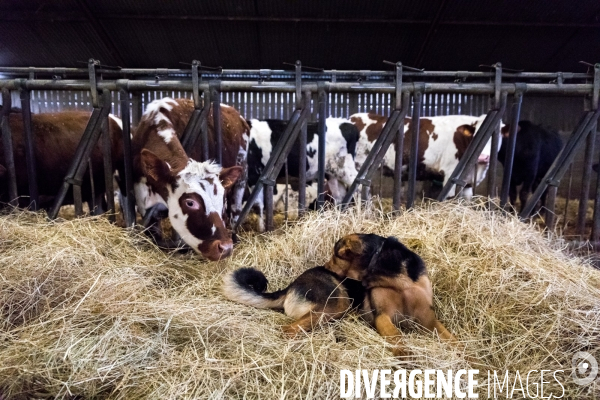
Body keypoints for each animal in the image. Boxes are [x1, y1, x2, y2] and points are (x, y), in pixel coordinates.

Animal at [132, 98, 250, 260]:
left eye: (222, 200)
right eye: (190, 202)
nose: (225, 247)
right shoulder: (144, 203)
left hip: (241, 172)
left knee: (236, 210)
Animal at [223, 231, 458, 356]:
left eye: (335, 255)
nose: (325, 267)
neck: (398, 281)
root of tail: (290, 286)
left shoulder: (427, 317)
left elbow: (450, 338)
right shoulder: (382, 316)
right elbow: (396, 336)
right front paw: (405, 355)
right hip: (338, 303)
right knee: (289, 330)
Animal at [346, 112, 502, 200]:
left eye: (497, 136)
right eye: (476, 134)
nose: (483, 157)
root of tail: (353, 118)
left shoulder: (468, 181)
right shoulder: (450, 172)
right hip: (358, 165)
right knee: (357, 189)